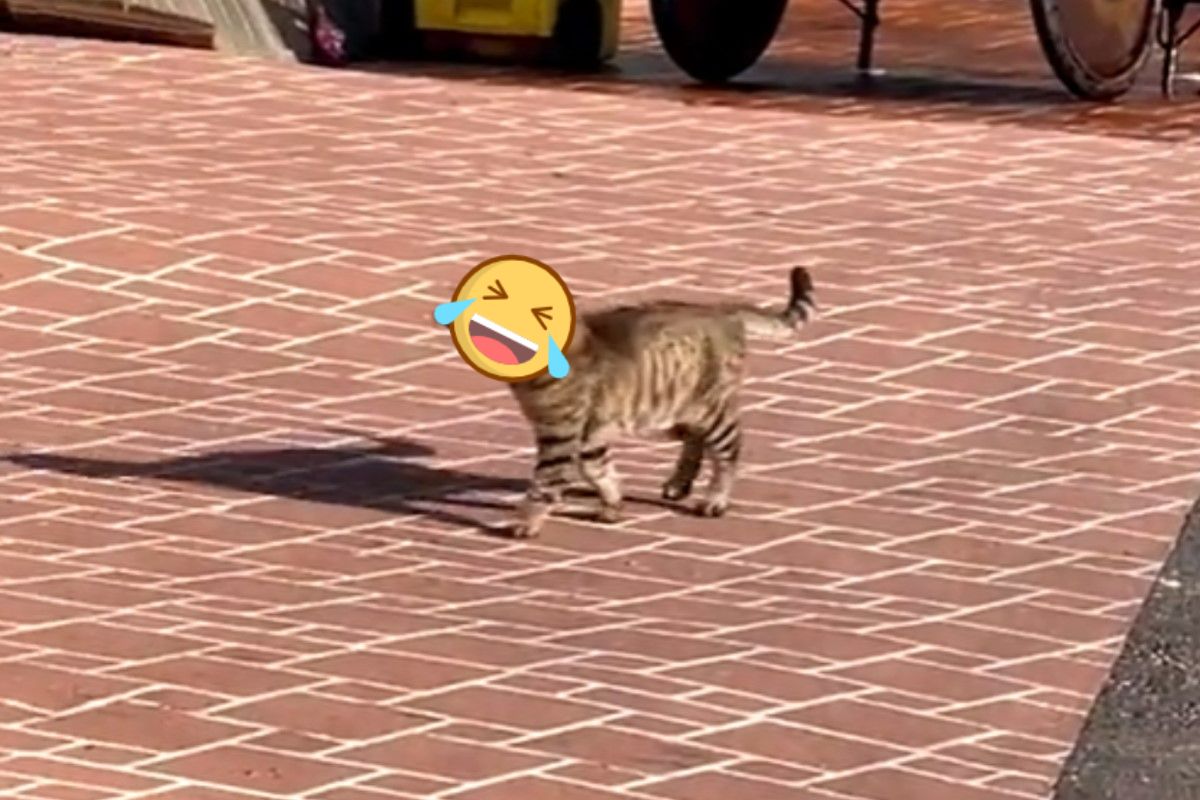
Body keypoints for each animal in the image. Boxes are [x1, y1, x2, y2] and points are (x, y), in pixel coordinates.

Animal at [507, 267, 816, 538]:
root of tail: (719, 309)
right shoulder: (588, 433)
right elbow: (599, 470)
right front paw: (613, 504)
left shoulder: (561, 434)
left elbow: (545, 482)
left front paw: (527, 522)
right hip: (676, 411)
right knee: (695, 440)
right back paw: (680, 483)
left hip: (707, 409)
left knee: (729, 450)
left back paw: (715, 499)